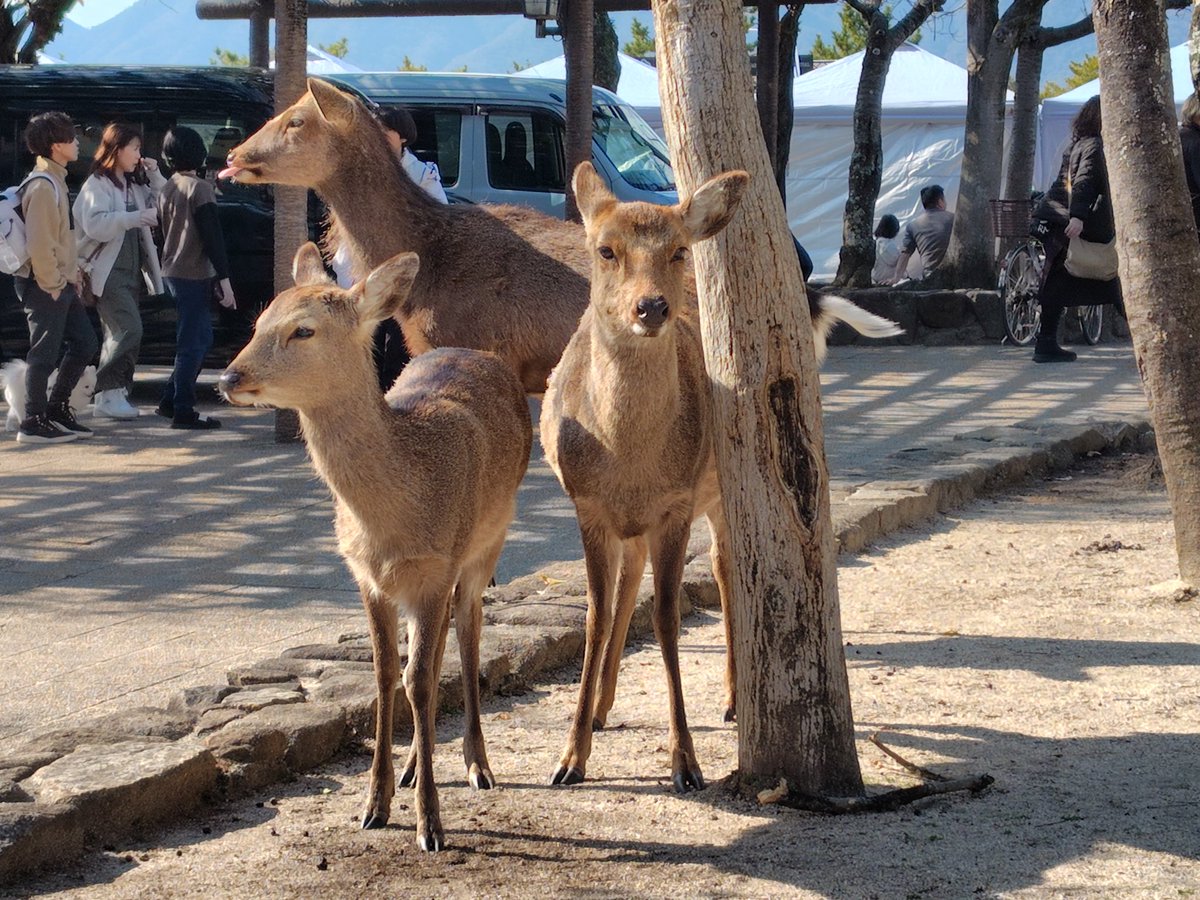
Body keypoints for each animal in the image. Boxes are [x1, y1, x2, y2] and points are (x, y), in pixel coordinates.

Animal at [218, 243, 532, 852]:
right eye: (259, 321)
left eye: (303, 329)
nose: (228, 375)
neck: (392, 523)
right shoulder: (366, 576)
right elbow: (388, 673)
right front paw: (374, 804)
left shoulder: (437, 565)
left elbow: (422, 675)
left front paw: (430, 825)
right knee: (431, 658)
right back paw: (413, 766)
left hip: (488, 543)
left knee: (468, 637)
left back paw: (478, 765)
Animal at [539, 162, 754, 793]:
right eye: (605, 249)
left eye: (679, 249)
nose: (651, 307)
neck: (629, 459)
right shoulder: (587, 504)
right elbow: (597, 614)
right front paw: (569, 758)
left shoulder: (676, 503)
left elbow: (667, 617)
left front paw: (687, 763)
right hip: (629, 523)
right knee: (630, 579)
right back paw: (602, 707)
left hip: (719, 491)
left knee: (727, 569)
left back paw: (734, 699)